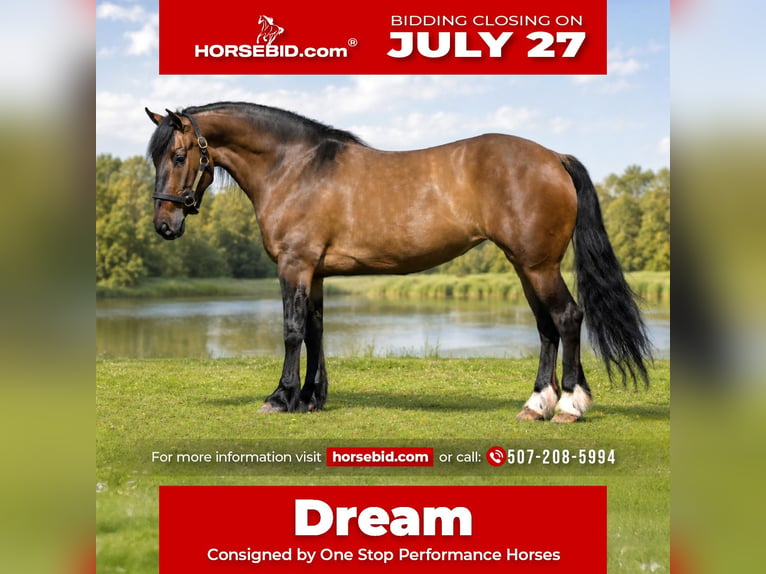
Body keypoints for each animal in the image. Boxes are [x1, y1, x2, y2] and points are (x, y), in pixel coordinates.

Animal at [145, 101, 651, 423]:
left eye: (178, 154)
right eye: (156, 158)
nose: (164, 224)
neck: (296, 166)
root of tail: (554, 157)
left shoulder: (294, 266)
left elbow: (291, 331)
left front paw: (281, 397)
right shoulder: (316, 272)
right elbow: (314, 331)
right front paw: (311, 398)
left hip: (539, 265)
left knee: (567, 318)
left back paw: (568, 407)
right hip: (525, 265)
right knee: (547, 326)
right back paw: (537, 405)